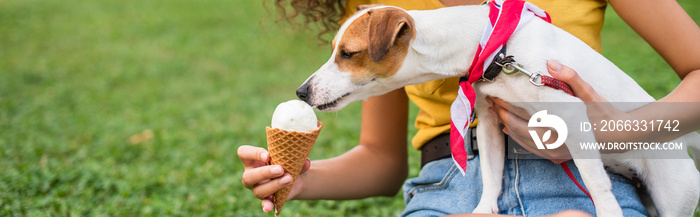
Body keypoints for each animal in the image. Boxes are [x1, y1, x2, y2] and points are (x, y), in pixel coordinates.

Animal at [296, 3, 700, 217]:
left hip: (672, 198)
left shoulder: (572, 114)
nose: (301, 91)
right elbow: (491, 172)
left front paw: (608, 210)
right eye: (336, 50)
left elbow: (596, 181)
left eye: (348, 53)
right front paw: (485, 207)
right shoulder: (490, 121)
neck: (496, 48)